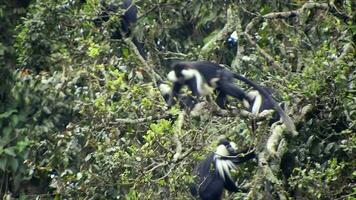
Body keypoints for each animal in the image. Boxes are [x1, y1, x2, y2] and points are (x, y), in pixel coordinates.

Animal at [167, 61, 298, 133]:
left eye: (182, 75)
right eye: (178, 76)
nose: (181, 79)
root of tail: (226, 70)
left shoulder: (193, 76)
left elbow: (195, 94)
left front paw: (187, 108)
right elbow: (175, 91)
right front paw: (169, 108)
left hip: (225, 76)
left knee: (225, 85)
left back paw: (245, 98)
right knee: (220, 92)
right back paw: (224, 106)